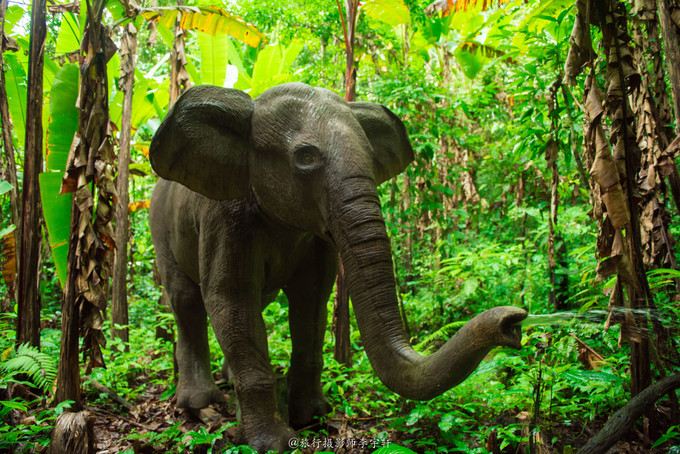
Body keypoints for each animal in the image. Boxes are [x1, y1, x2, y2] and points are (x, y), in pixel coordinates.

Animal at [149, 82, 528, 450]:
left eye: (372, 159)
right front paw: (272, 444)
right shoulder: (225, 219)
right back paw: (198, 404)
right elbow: (230, 298)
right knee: (187, 302)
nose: (514, 323)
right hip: (160, 228)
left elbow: (312, 299)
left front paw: (313, 418)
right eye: (305, 158)